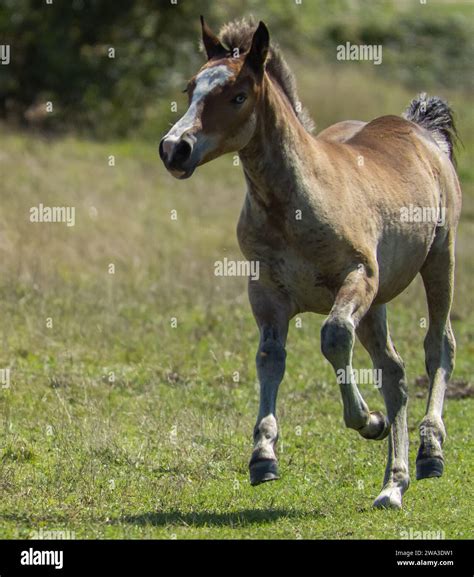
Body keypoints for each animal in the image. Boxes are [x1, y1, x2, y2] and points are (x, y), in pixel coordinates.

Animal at [158, 15, 460, 506]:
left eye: (238, 96)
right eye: (190, 89)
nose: (174, 148)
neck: (292, 205)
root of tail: (421, 129)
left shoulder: (358, 277)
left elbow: (334, 337)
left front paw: (367, 421)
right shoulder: (266, 291)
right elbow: (270, 358)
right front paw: (263, 456)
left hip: (439, 260)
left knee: (439, 346)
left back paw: (429, 450)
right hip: (378, 303)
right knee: (393, 372)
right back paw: (392, 484)